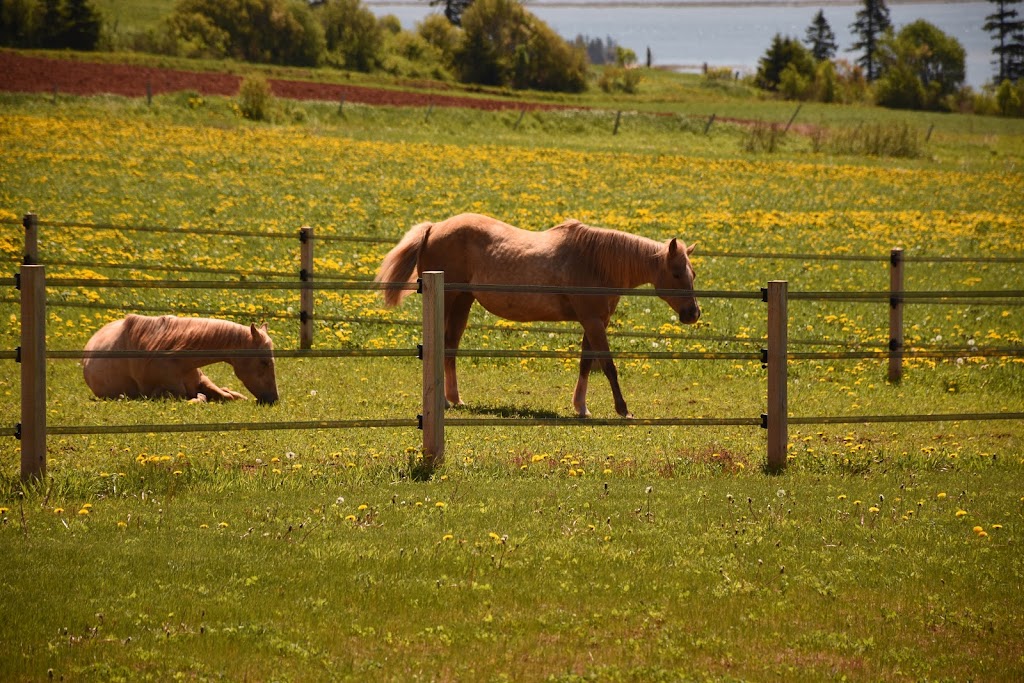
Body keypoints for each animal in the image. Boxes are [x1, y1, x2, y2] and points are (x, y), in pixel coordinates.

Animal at [82, 317, 280, 405]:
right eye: (264, 362)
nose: (273, 399)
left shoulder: (202, 381)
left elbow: (227, 395)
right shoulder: (164, 393)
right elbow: (196, 398)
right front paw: (201, 398)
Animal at [378, 214, 704, 417]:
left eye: (693, 273)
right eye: (676, 274)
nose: (693, 313)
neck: (596, 262)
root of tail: (434, 228)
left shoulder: (595, 321)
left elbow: (586, 364)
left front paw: (581, 407)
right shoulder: (593, 322)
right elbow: (608, 366)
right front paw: (623, 410)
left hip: (462, 303)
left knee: (450, 348)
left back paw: (454, 399)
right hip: (449, 300)